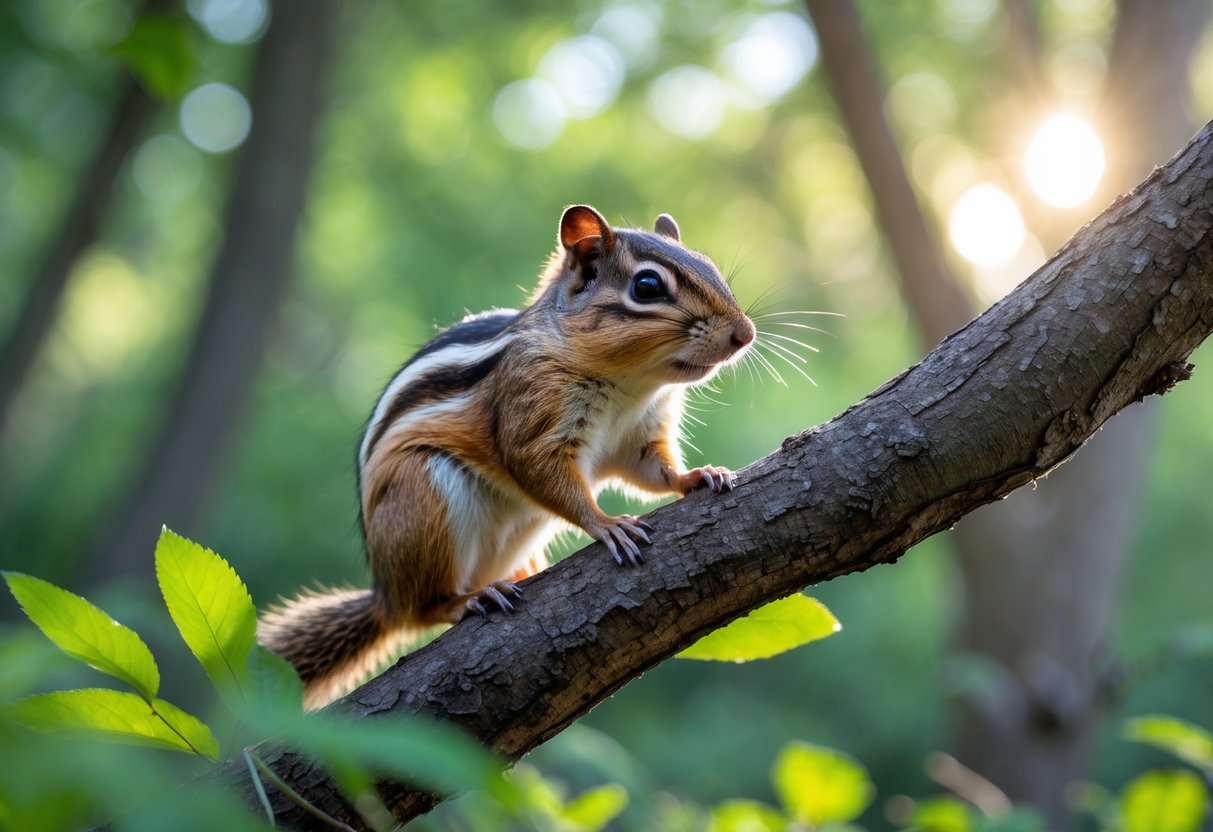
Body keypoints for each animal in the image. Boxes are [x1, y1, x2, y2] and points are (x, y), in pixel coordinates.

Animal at [259, 205, 756, 709]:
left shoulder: (639, 435)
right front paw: (607, 524)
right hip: (425, 496)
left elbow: (653, 471)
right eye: (648, 286)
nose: (745, 333)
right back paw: (467, 599)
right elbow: (539, 470)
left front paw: (697, 475)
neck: (631, 384)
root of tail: (386, 595)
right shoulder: (531, 412)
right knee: (423, 610)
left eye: (710, 265)